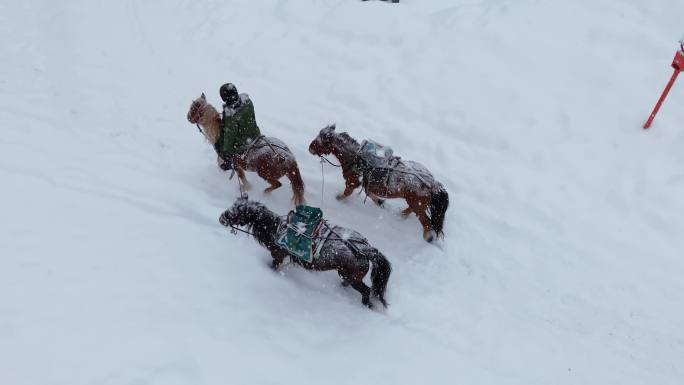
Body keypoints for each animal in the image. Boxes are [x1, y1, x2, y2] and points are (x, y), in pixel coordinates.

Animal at [219, 196, 390, 308]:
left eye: (235, 212)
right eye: (232, 206)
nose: (221, 218)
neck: (276, 228)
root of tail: (366, 248)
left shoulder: (277, 257)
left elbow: (273, 266)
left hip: (352, 277)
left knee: (366, 291)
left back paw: (367, 305)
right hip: (348, 275)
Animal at [308, 124, 448, 242]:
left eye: (318, 141)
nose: (310, 148)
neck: (356, 156)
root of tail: (433, 183)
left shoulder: (352, 182)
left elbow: (347, 192)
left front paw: (339, 198)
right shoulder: (365, 184)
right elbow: (368, 193)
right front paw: (380, 202)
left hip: (417, 203)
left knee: (426, 222)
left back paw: (428, 237)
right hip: (414, 202)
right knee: (412, 210)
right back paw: (401, 215)